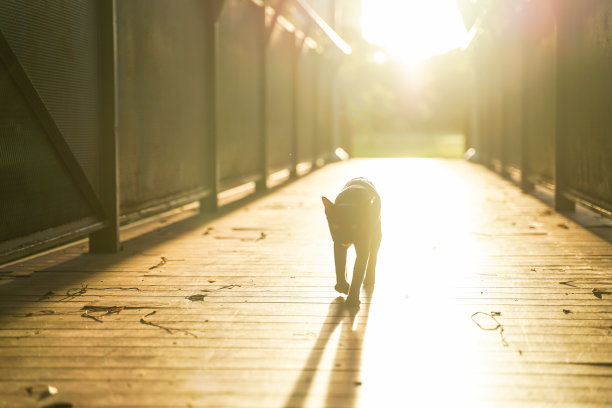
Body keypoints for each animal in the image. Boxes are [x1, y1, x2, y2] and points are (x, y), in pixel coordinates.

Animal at [322, 177, 380, 308]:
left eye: (355, 226)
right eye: (336, 225)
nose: (345, 238)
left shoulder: (363, 247)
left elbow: (358, 271)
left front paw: (352, 299)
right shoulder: (338, 244)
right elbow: (339, 265)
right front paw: (342, 286)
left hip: (376, 235)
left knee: (373, 256)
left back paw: (369, 279)